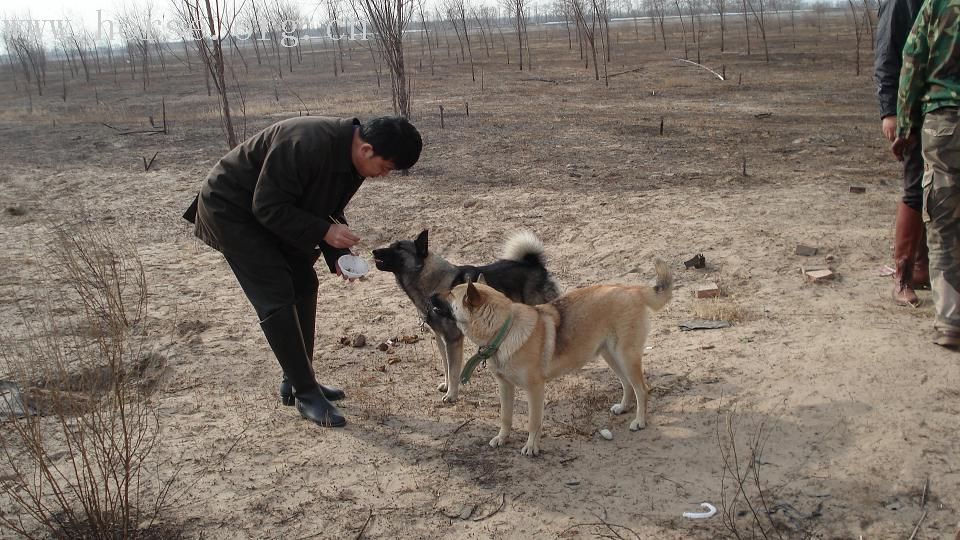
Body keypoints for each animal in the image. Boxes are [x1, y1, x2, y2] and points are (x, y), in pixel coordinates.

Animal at [372, 228, 560, 400]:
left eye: (399, 248)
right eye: (391, 245)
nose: (374, 251)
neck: (433, 282)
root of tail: (535, 264)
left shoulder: (452, 340)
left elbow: (454, 370)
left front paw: (451, 395)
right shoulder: (441, 339)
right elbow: (446, 366)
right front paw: (446, 386)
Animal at [440, 262, 672, 456]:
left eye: (451, 293)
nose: (433, 296)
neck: (505, 329)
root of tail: (633, 290)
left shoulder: (535, 390)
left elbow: (533, 422)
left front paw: (532, 447)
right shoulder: (505, 386)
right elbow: (505, 417)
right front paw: (502, 438)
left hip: (625, 357)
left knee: (642, 389)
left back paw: (639, 421)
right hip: (612, 357)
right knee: (627, 385)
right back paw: (623, 407)